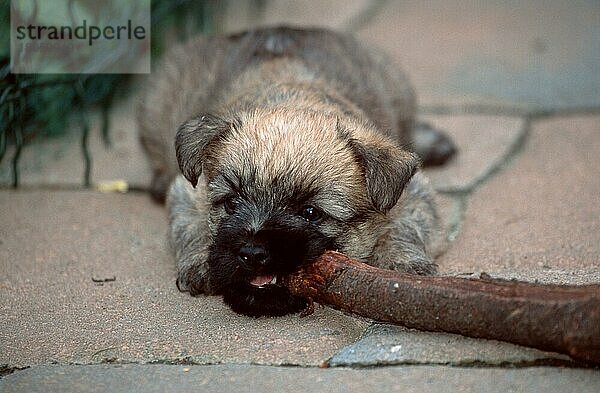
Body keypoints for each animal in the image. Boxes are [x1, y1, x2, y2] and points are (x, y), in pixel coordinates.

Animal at [137, 26, 454, 316]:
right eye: (231, 203)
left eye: (311, 213)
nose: (251, 253)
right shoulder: (188, 190)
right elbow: (189, 225)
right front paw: (200, 262)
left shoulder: (412, 192)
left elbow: (407, 226)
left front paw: (402, 263)